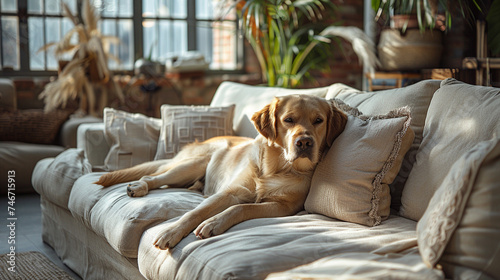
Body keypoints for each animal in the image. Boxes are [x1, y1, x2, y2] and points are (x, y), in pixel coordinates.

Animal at [96, 94, 348, 249]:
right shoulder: (228, 192)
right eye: (289, 120)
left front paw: (213, 223)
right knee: (152, 176)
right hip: (193, 164)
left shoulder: (282, 207)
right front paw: (171, 232)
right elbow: (194, 213)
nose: (304, 143)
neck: (276, 167)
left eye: (318, 120)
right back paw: (139, 187)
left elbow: (241, 208)